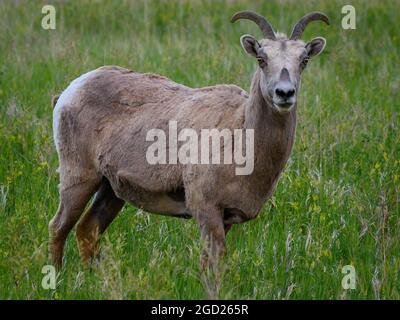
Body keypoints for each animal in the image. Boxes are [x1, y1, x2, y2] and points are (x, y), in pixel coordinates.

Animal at [50, 11, 330, 268]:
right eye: (262, 59)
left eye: (303, 60)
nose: (285, 93)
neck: (241, 135)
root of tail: (71, 90)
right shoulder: (206, 211)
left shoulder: (225, 219)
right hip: (79, 178)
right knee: (58, 227)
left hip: (110, 190)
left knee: (87, 230)